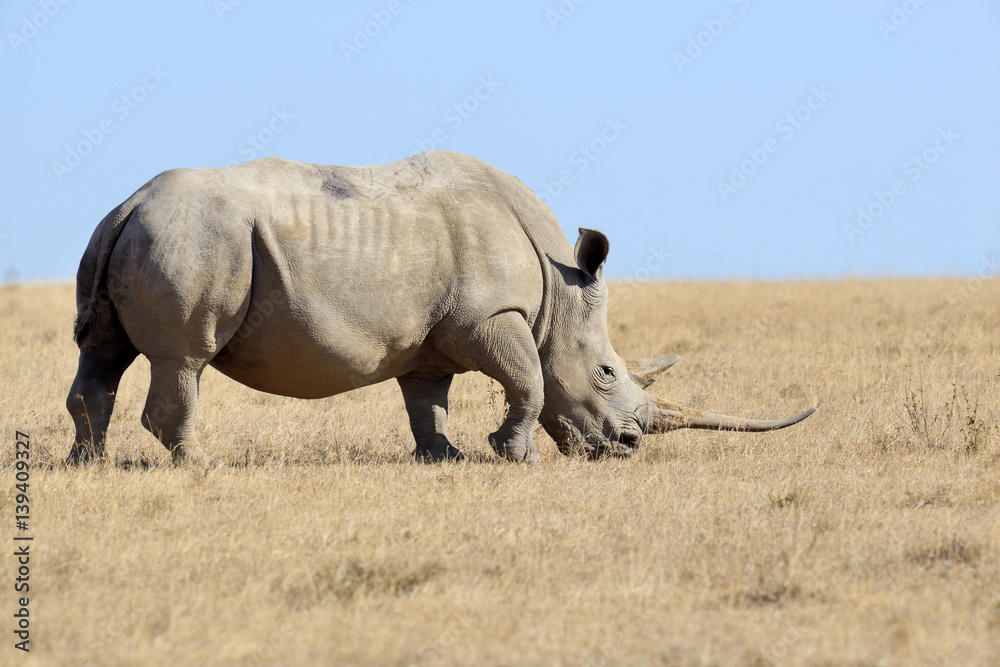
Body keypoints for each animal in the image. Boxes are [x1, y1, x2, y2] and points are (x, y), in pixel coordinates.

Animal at [66, 151, 813, 465]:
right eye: (606, 372)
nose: (627, 448)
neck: (559, 290)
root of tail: (129, 204)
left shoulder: (436, 336)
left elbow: (427, 398)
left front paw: (444, 456)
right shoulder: (492, 316)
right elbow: (530, 380)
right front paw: (514, 457)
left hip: (133, 235)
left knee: (103, 351)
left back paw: (87, 464)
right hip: (194, 238)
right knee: (183, 358)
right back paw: (199, 464)